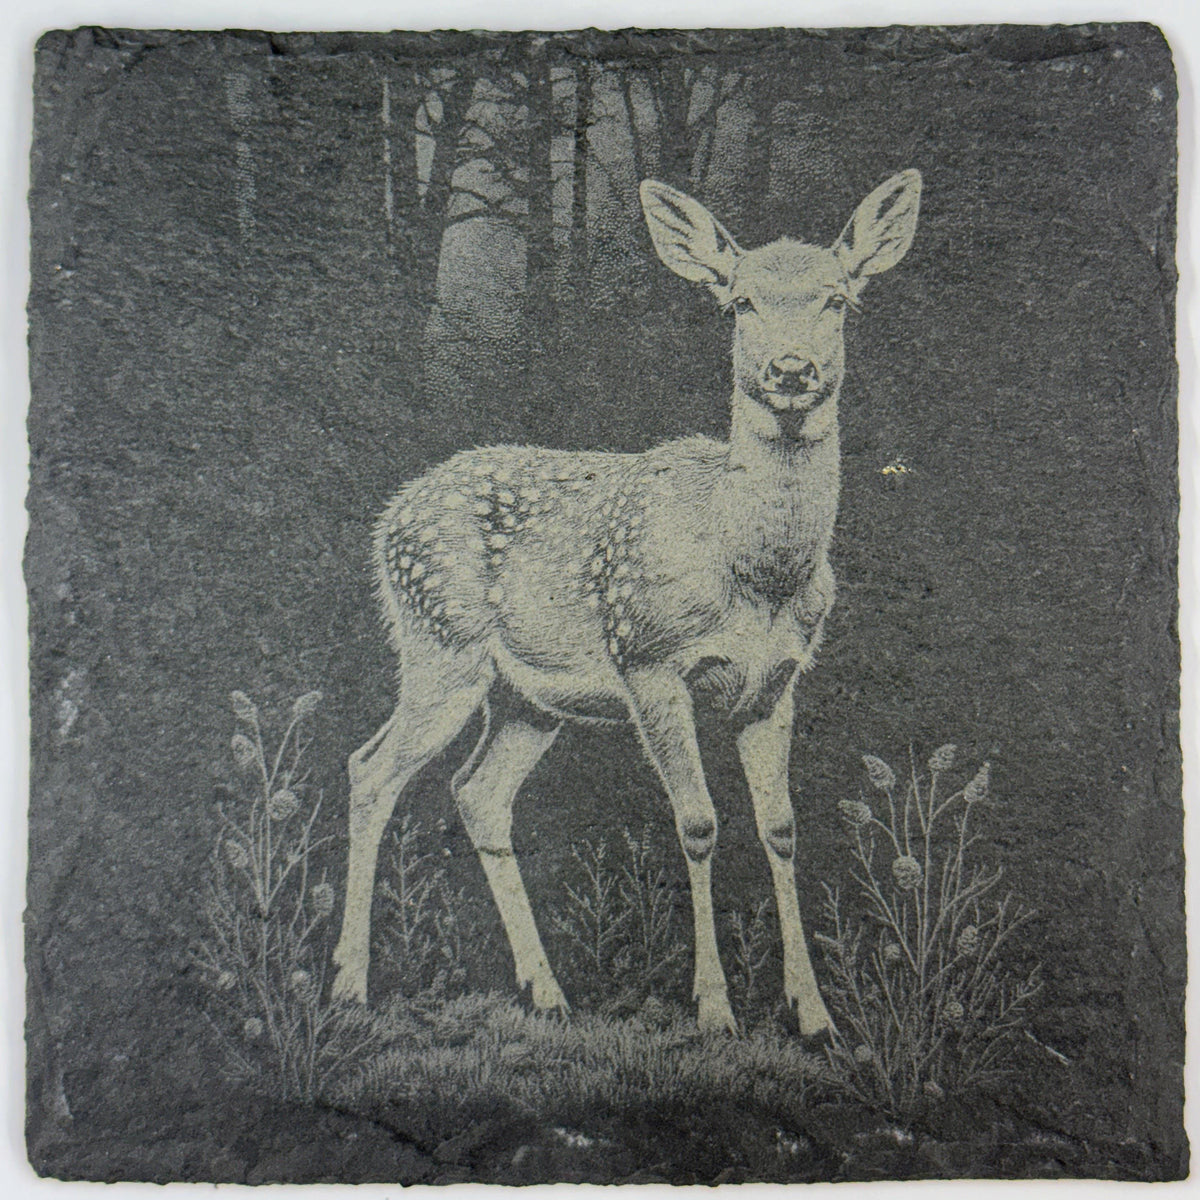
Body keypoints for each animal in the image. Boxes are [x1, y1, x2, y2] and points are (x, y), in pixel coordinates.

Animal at [331, 169, 922, 1035]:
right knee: (370, 769)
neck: (751, 570)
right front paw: (714, 1010)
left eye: (837, 299)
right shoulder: (648, 659)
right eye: (740, 302)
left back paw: (548, 994)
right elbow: (699, 823)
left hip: (527, 698)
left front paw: (813, 1013)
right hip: (440, 644)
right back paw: (348, 985)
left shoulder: (775, 683)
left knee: (478, 793)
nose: (791, 370)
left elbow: (781, 828)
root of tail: (387, 522)